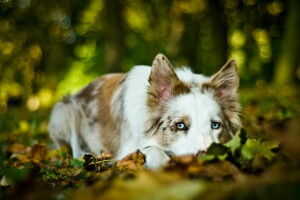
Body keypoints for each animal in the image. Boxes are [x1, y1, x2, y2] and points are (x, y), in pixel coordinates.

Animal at [49, 53, 241, 169]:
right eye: (180, 125)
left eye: (215, 125)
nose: (208, 155)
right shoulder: (128, 149)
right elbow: (154, 151)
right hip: (66, 111)